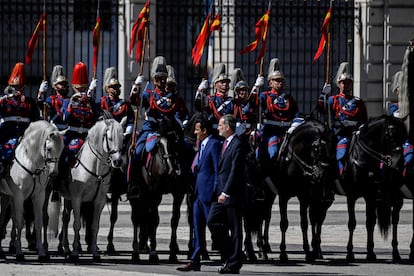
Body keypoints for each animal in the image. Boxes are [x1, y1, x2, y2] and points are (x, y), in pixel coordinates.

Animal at [0, 121, 64, 260]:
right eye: (49, 149)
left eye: (62, 149)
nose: (54, 173)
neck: (31, 163)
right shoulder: (19, 196)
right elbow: (20, 221)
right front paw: (19, 252)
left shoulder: (39, 197)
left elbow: (39, 222)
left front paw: (42, 252)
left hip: (6, 196)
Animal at [274, 118, 336, 260]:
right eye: (318, 148)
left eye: (334, 149)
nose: (322, 175)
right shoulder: (283, 196)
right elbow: (284, 223)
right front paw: (283, 252)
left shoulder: (304, 197)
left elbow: (305, 223)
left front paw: (308, 250)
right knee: (315, 219)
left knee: (316, 220)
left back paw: (316, 249)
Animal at [336, 115, 408, 262]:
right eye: (390, 134)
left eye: (404, 136)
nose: (399, 162)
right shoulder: (351, 196)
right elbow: (352, 223)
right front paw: (350, 253)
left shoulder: (370, 195)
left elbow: (370, 222)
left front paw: (370, 252)